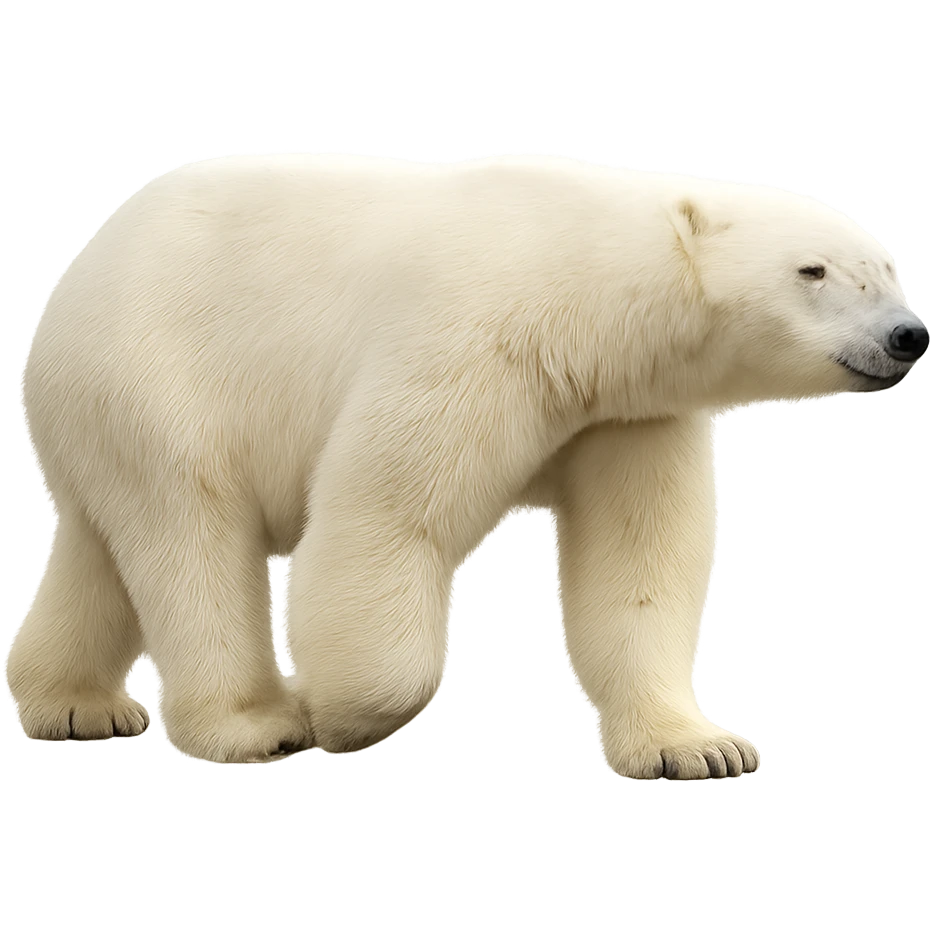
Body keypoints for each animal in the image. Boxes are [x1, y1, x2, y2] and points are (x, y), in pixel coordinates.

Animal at [9, 154, 927, 776]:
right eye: (812, 270)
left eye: (888, 267)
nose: (906, 335)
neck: (584, 285)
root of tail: (76, 270)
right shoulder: (478, 338)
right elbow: (385, 515)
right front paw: (338, 715)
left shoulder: (625, 410)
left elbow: (639, 562)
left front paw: (699, 749)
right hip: (159, 374)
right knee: (191, 535)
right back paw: (254, 725)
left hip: (101, 416)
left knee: (100, 552)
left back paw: (76, 706)